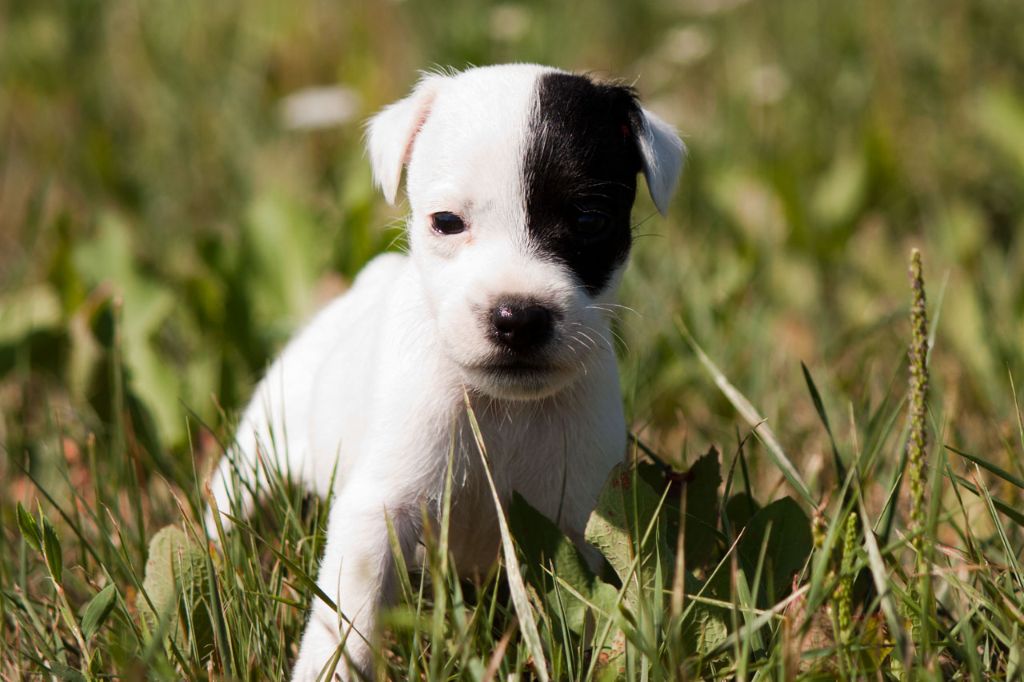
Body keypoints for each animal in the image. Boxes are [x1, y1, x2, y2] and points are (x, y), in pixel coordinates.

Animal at [205, 63, 684, 680]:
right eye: (447, 222)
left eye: (589, 220)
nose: (518, 316)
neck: (501, 410)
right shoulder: (376, 515)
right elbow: (348, 617)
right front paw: (329, 668)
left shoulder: (585, 517)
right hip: (261, 447)